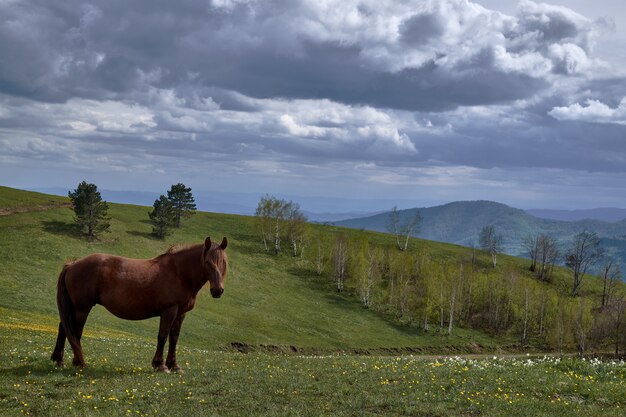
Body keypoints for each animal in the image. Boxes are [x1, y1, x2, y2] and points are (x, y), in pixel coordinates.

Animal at [50, 237, 227, 370]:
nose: (217, 291)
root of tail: (72, 265)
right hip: (82, 308)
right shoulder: (168, 311)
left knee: (64, 328)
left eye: (223, 263)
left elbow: (174, 338)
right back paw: (78, 362)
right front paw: (160, 365)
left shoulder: (180, 313)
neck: (179, 273)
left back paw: (59, 360)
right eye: (208, 262)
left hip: (74, 308)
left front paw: (174, 366)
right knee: (75, 332)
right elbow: (162, 336)